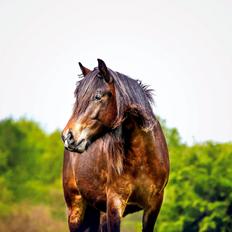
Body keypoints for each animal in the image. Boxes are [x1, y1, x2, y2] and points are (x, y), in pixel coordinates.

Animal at [61, 59, 170, 231]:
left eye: (98, 96)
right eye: (77, 97)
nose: (68, 136)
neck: (142, 158)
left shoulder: (153, 206)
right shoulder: (114, 204)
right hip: (76, 209)